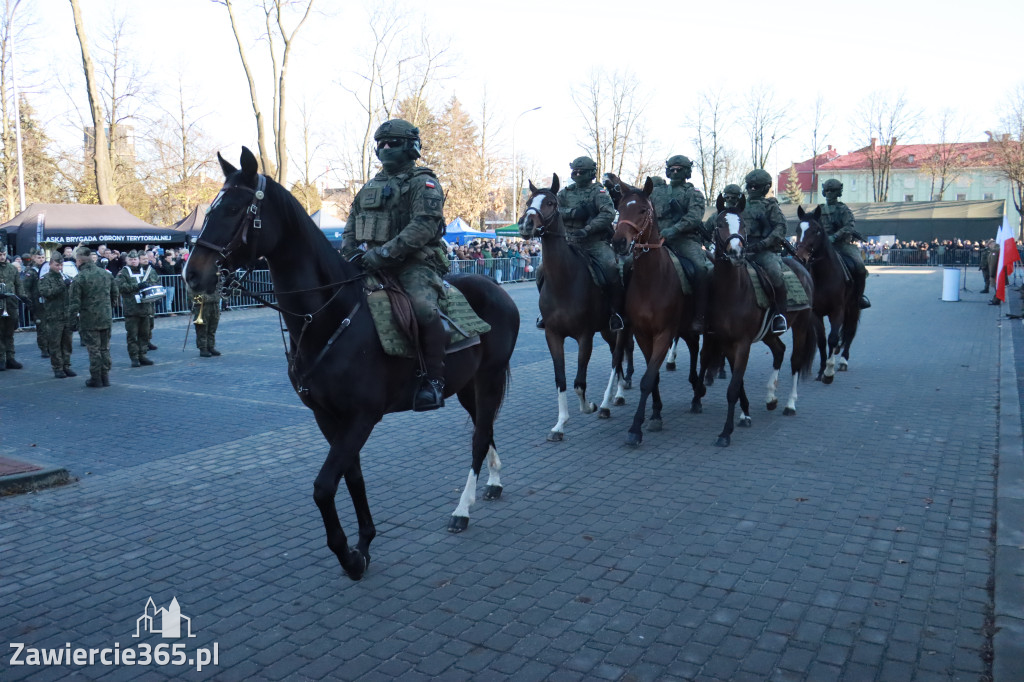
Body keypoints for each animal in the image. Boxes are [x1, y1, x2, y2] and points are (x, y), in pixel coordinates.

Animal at [184, 146, 520, 577]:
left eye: (234, 209)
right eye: (210, 210)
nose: (192, 274)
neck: (330, 315)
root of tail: (496, 287)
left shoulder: (362, 417)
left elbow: (325, 485)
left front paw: (347, 554)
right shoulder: (328, 417)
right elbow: (353, 477)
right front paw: (364, 543)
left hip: (489, 378)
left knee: (478, 438)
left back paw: (462, 510)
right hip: (466, 386)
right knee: (484, 427)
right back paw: (493, 483)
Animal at [524, 175, 626, 440]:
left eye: (550, 202)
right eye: (528, 201)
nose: (526, 224)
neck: (564, 280)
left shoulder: (584, 336)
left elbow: (580, 383)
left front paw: (589, 406)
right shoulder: (553, 335)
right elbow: (561, 379)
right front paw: (560, 424)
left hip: (618, 328)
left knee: (618, 356)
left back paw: (606, 403)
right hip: (606, 330)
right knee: (617, 356)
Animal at [606, 174, 704, 446]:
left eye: (642, 210)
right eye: (619, 209)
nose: (618, 242)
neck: (651, 280)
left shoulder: (664, 333)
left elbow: (648, 378)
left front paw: (635, 428)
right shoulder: (642, 333)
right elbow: (653, 376)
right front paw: (656, 413)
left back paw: (698, 393)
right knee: (694, 347)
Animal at [704, 195, 815, 446]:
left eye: (743, 224)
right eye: (719, 224)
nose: (736, 252)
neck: (731, 291)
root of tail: (802, 266)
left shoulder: (743, 343)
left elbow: (733, 387)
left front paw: (726, 432)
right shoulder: (726, 343)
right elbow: (738, 384)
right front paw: (744, 415)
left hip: (801, 325)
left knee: (795, 360)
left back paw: (789, 404)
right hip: (768, 334)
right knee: (779, 351)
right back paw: (771, 397)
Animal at [794, 204, 860, 382]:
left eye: (816, 230)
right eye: (798, 229)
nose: (801, 257)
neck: (823, 275)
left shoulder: (837, 310)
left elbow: (833, 338)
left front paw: (829, 372)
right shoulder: (816, 313)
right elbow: (822, 340)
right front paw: (822, 370)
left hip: (853, 307)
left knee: (850, 331)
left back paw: (843, 360)